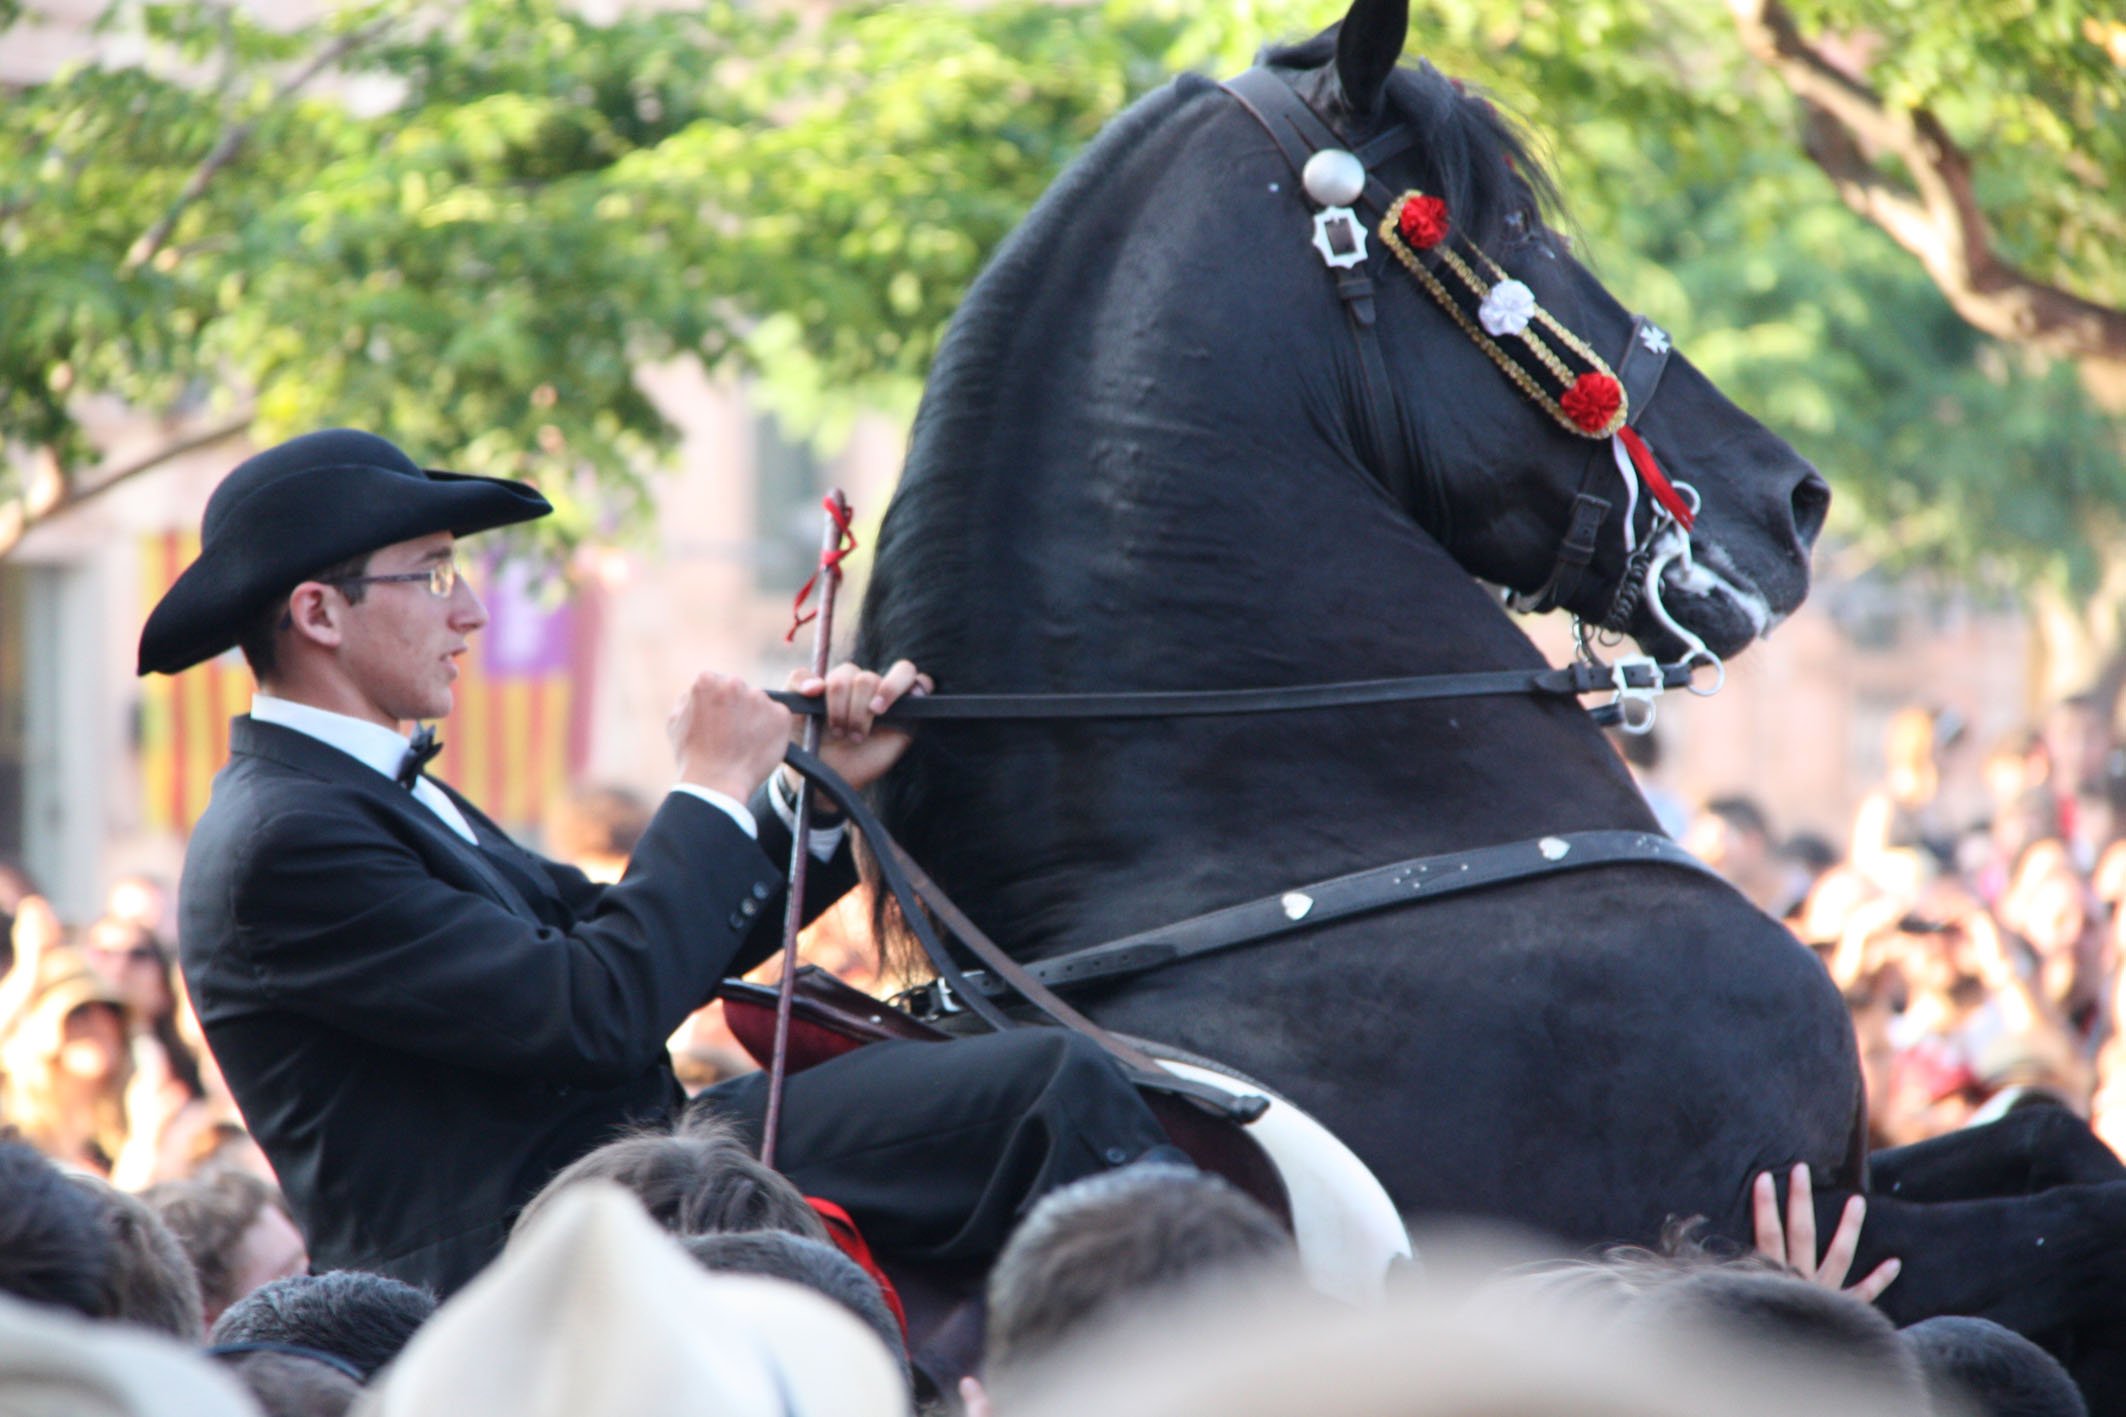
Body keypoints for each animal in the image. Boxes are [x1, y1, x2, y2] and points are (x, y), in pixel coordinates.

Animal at [846, 0, 2126, 1393]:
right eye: (1511, 224)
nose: (1795, 500)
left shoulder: (1851, 1178)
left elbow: (2055, 1135)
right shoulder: (1776, 1234)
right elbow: (2077, 1221)